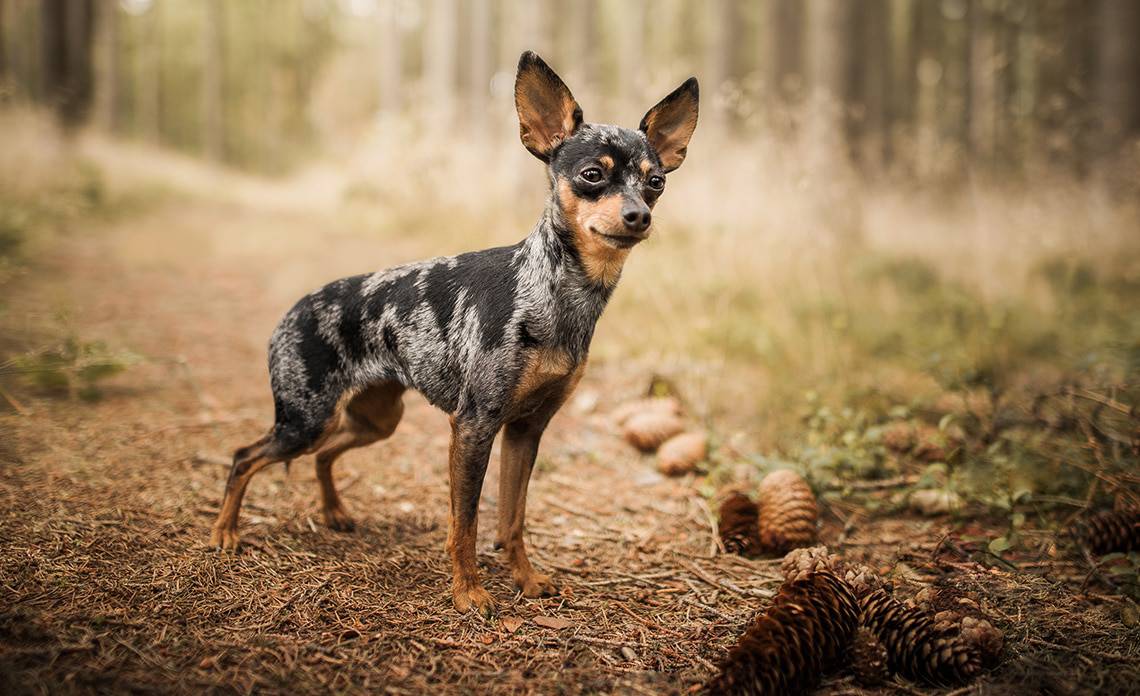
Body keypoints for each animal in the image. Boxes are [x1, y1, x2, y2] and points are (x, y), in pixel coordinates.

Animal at [209, 51, 697, 615]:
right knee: (244, 457)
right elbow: (465, 522)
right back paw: (225, 532)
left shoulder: (526, 429)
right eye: (592, 174)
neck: (555, 291)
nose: (638, 216)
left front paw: (526, 580)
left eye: (656, 182)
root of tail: (290, 312)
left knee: (325, 454)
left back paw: (333, 512)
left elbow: (512, 519)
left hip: (375, 419)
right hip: (305, 420)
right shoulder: (474, 425)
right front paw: (469, 591)